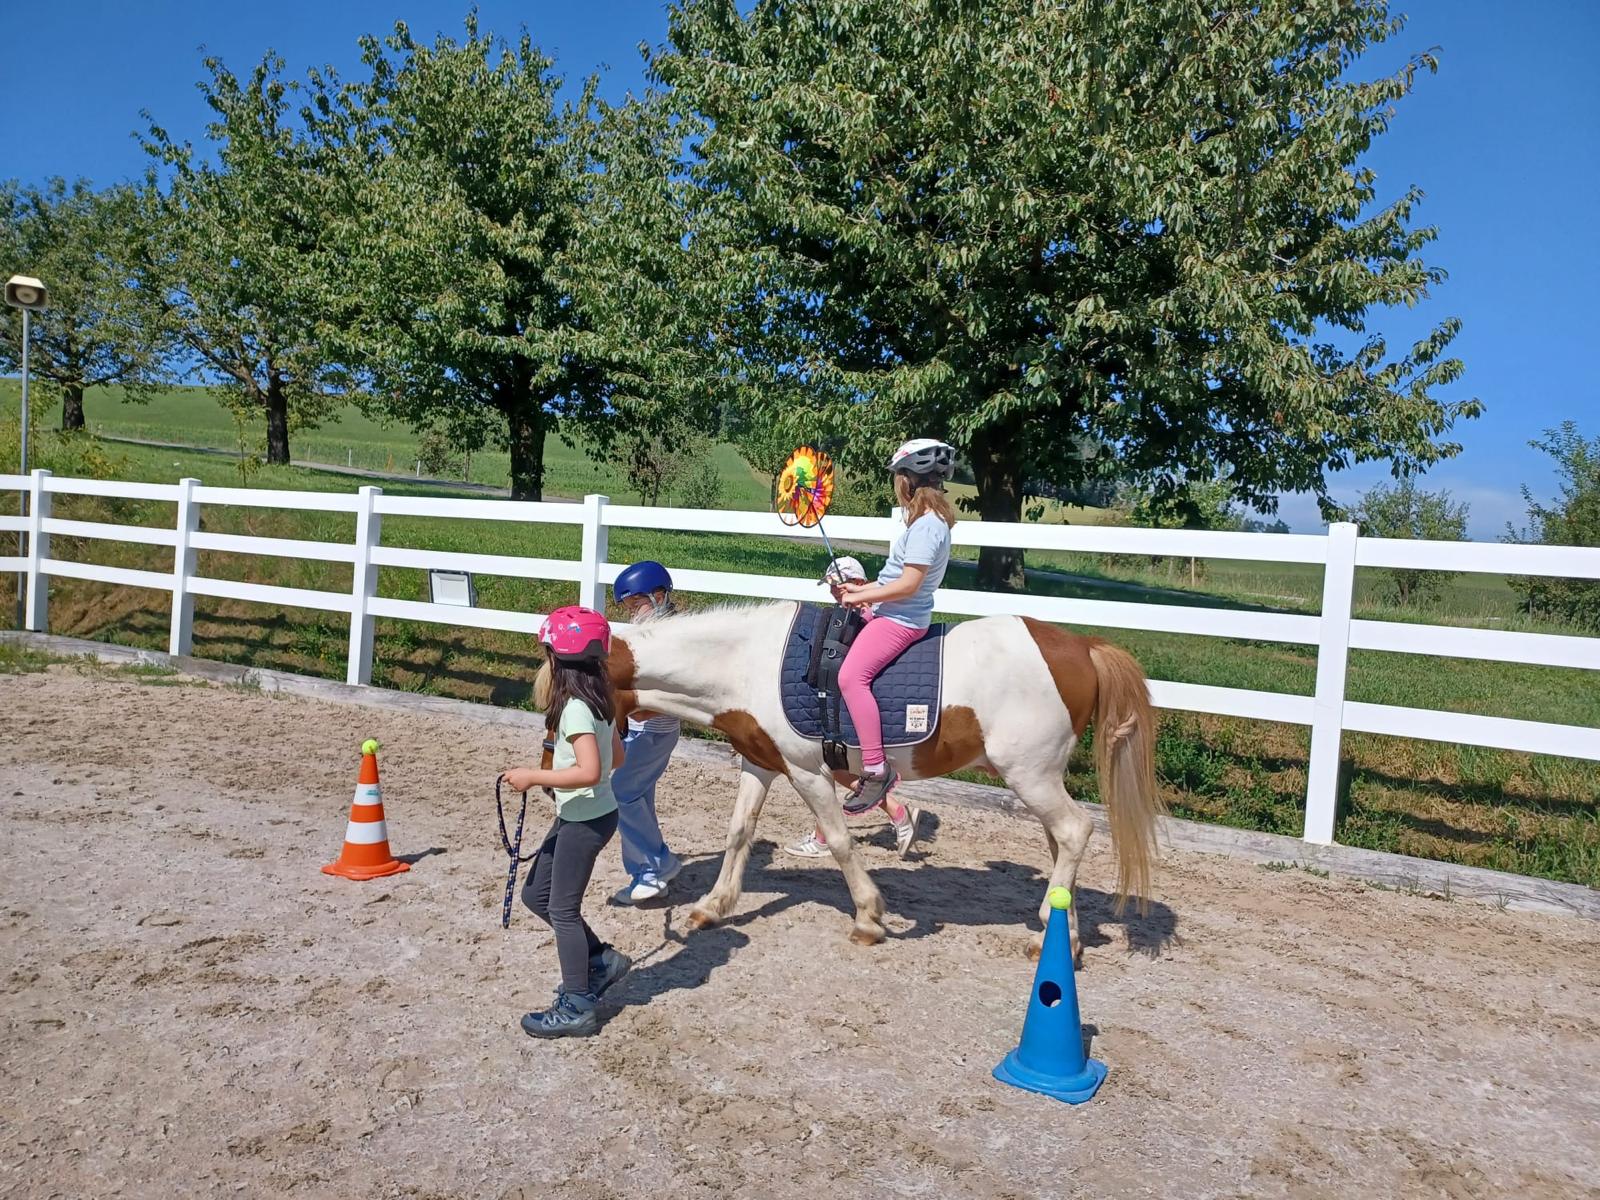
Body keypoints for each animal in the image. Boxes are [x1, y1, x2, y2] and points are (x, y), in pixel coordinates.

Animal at [607, 601, 1163, 958]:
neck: (746, 662)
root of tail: (1082, 645)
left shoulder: (807, 772)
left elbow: (839, 841)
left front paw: (869, 917)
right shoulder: (760, 762)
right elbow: (739, 832)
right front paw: (712, 906)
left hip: (1030, 775)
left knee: (1074, 832)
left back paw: (1048, 934)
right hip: (1042, 777)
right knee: (1060, 844)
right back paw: (1065, 938)